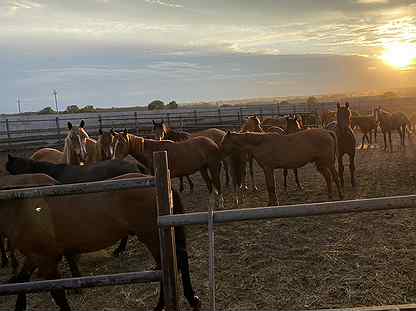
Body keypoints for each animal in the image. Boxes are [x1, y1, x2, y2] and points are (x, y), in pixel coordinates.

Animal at [0, 174, 201, 310]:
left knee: (169, 268)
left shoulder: (45, 260)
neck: (20, 207)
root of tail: (161, 184)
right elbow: (22, 282)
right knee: (179, 260)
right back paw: (191, 299)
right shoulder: (34, 257)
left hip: (153, 239)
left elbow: (58, 295)